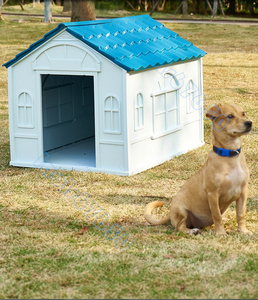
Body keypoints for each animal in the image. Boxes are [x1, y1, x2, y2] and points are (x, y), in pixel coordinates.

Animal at [144, 104, 253, 236]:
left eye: (243, 113)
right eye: (230, 116)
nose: (249, 123)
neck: (230, 156)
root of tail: (170, 214)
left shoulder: (243, 192)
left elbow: (241, 215)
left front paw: (243, 231)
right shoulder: (213, 194)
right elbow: (216, 215)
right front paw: (221, 233)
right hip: (181, 210)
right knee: (180, 226)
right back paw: (192, 231)